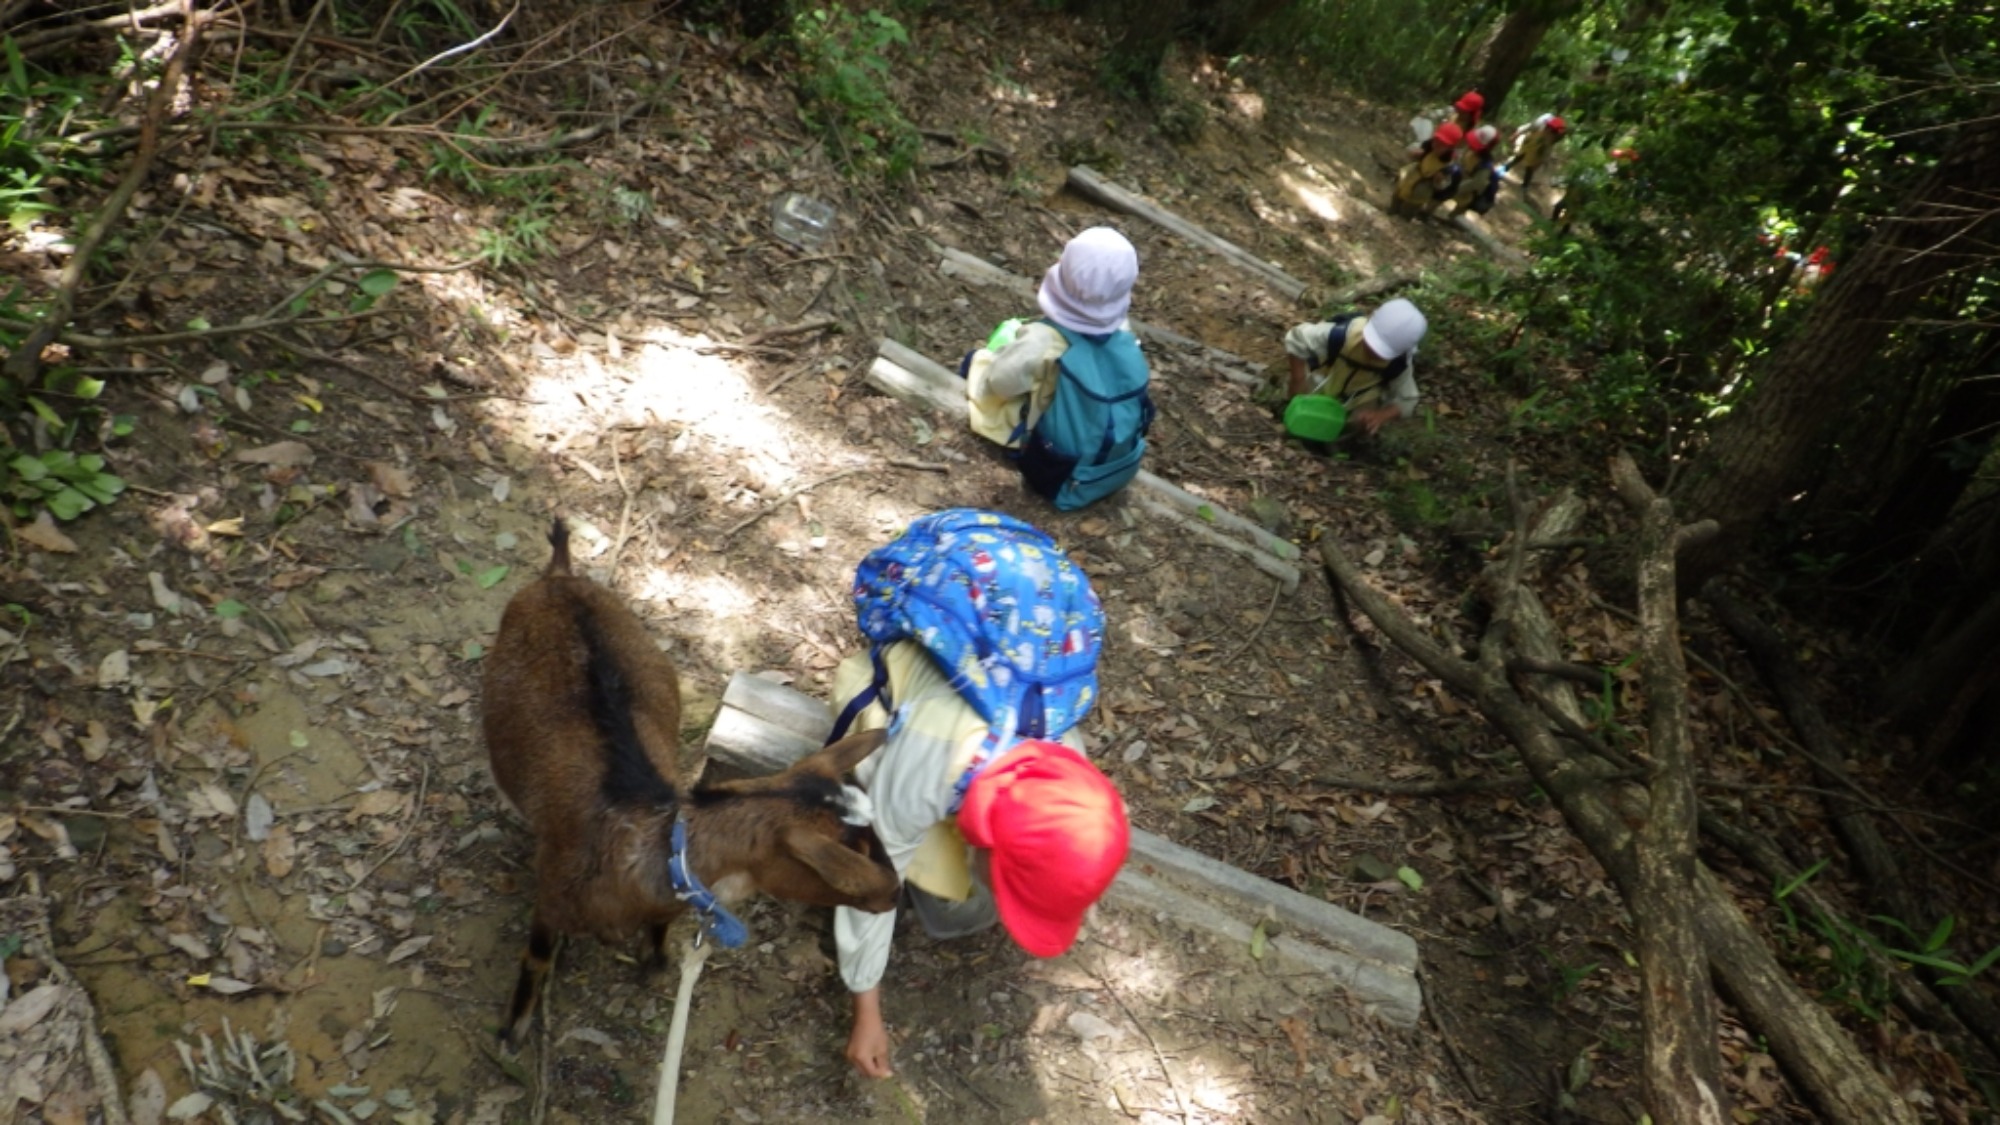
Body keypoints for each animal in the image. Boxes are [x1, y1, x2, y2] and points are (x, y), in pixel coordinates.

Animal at [480, 520, 896, 1040]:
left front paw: (654, 960)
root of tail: (558, 577)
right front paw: (514, 1024)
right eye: (847, 865)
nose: (895, 893)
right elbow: (536, 955)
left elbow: (658, 933)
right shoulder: (552, 898)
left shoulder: (665, 908)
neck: (663, 849)